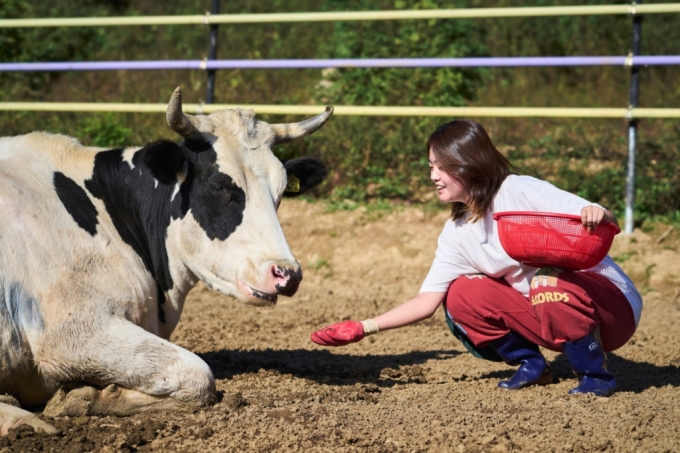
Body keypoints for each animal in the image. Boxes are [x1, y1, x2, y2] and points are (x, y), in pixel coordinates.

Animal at [0, 86, 332, 432]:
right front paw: (87, 398)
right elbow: (198, 375)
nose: (287, 274)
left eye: (281, 192)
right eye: (220, 185)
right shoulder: (71, 332)